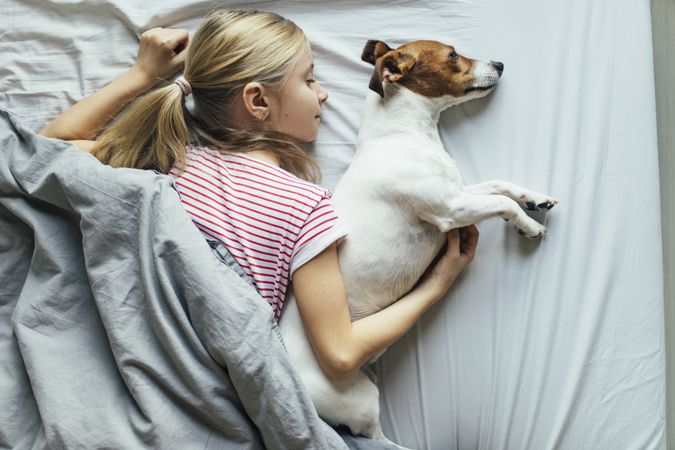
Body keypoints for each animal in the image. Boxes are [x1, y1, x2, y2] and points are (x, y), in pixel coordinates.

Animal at [278, 38, 556, 442]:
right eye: (452, 54)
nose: (501, 64)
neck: (403, 135)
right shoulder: (451, 208)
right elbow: (502, 202)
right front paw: (529, 226)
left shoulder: (459, 191)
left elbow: (501, 185)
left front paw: (535, 199)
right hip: (359, 398)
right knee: (373, 435)